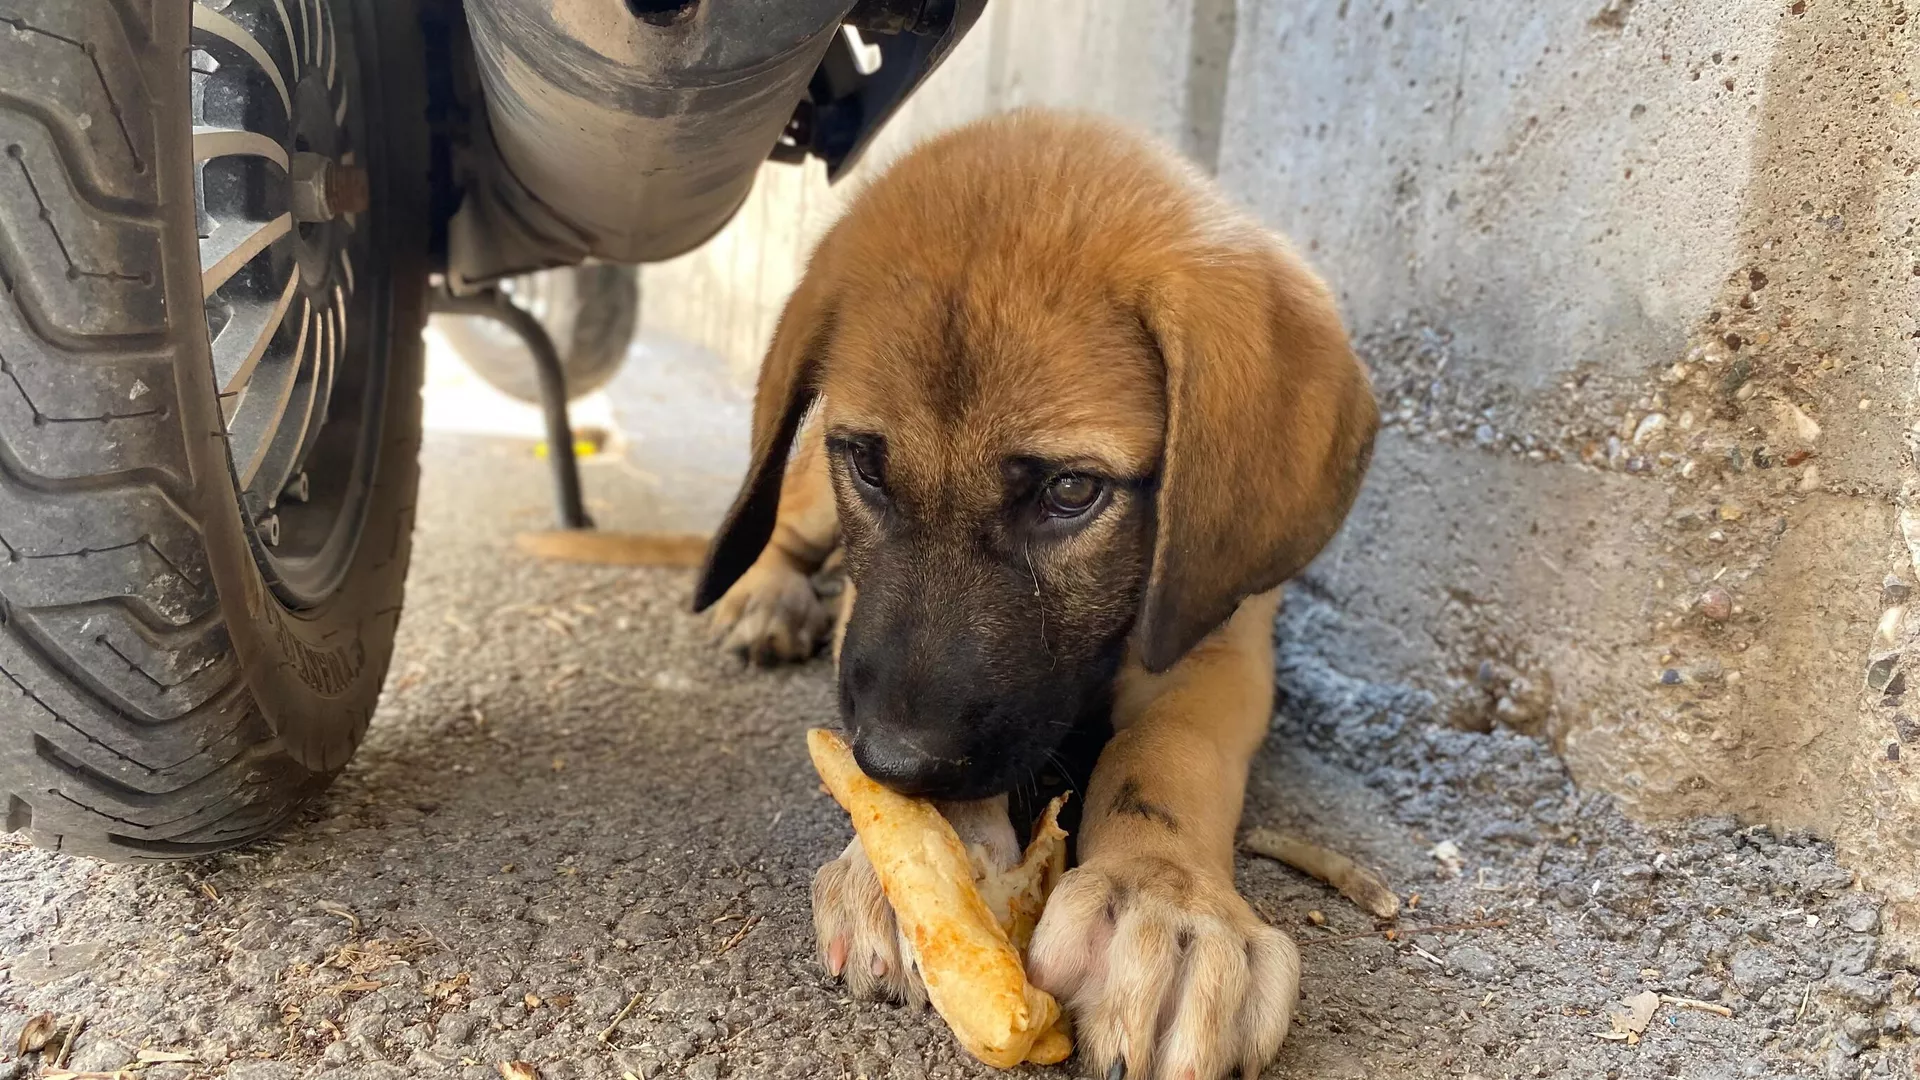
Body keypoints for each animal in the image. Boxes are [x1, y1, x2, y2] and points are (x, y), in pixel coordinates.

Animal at [698, 107, 1374, 1076]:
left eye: (1070, 492)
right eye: (866, 463)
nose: (895, 765)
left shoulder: (1223, 642)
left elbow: (1165, 753)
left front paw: (1164, 902)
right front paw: (910, 865)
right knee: (783, 523)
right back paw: (766, 597)